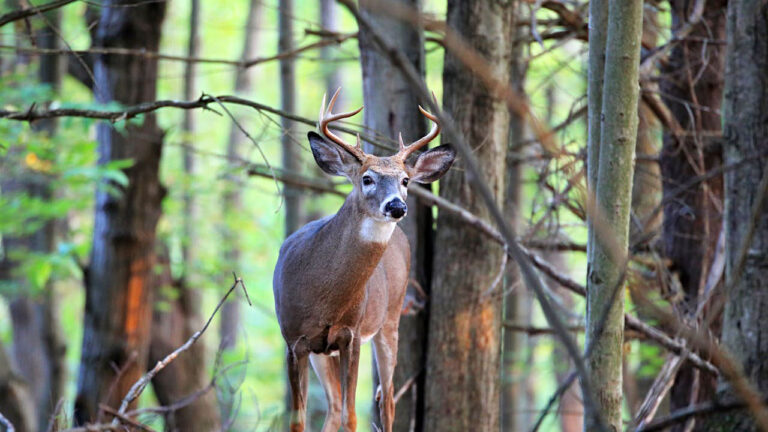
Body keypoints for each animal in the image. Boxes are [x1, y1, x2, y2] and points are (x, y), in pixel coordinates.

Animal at [272, 88, 455, 432]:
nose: (396, 206)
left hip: (390, 320)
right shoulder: (293, 341)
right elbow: (299, 420)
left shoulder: (351, 335)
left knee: (388, 400)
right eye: (367, 178)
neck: (323, 297)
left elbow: (352, 415)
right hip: (322, 353)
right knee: (334, 407)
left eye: (406, 180)